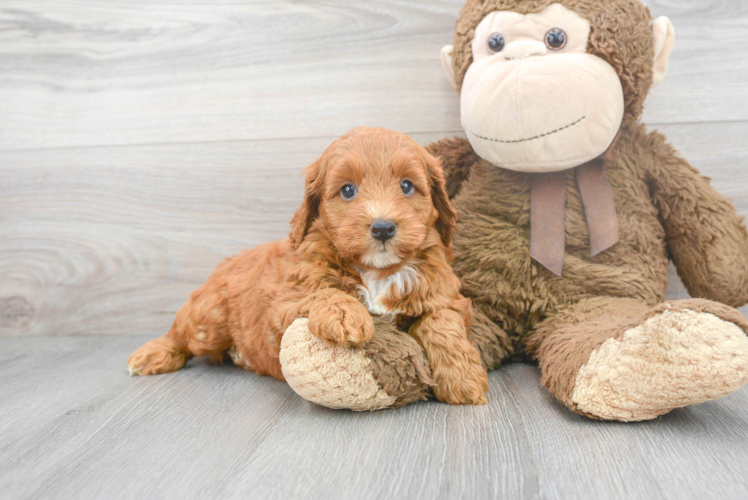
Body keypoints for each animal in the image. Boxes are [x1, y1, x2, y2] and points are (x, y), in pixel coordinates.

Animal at [127, 127, 490, 404]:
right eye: (348, 190)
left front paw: (464, 380)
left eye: (406, 185)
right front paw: (344, 315)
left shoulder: (445, 296)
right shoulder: (285, 299)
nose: (383, 227)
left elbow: (442, 324)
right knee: (182, 333)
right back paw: (152, 354)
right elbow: (322, 292)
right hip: (210, 316)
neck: (376, 271)